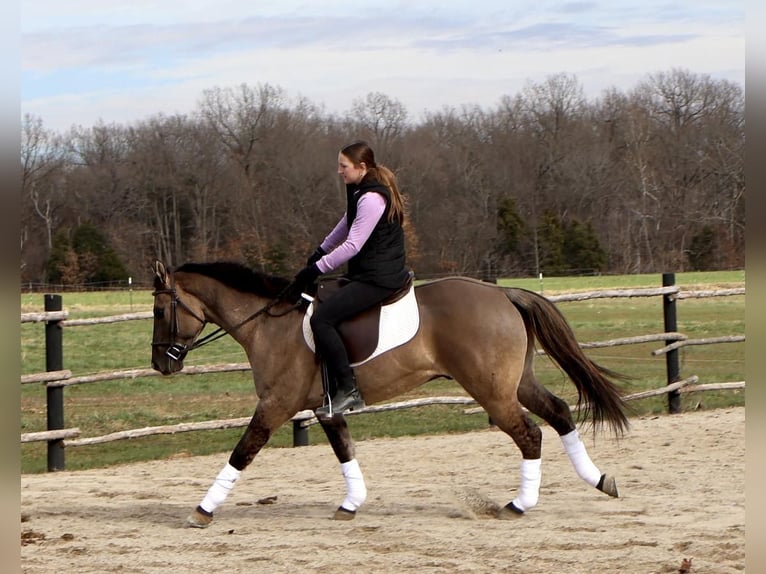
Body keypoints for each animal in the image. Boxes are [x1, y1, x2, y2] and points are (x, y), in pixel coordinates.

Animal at [150, 260, 632, 532]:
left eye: (158, 309)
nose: (160, 364)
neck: (271, 323)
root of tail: (501, 292)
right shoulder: (324, 408)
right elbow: (345, 451)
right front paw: (351, 505)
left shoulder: (275, 406)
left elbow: (242, 452)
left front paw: (201, 511)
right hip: (517, 384)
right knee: (560, 413)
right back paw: (599, 480)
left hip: (492, 392)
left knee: (530, 434)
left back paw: (518, 504)